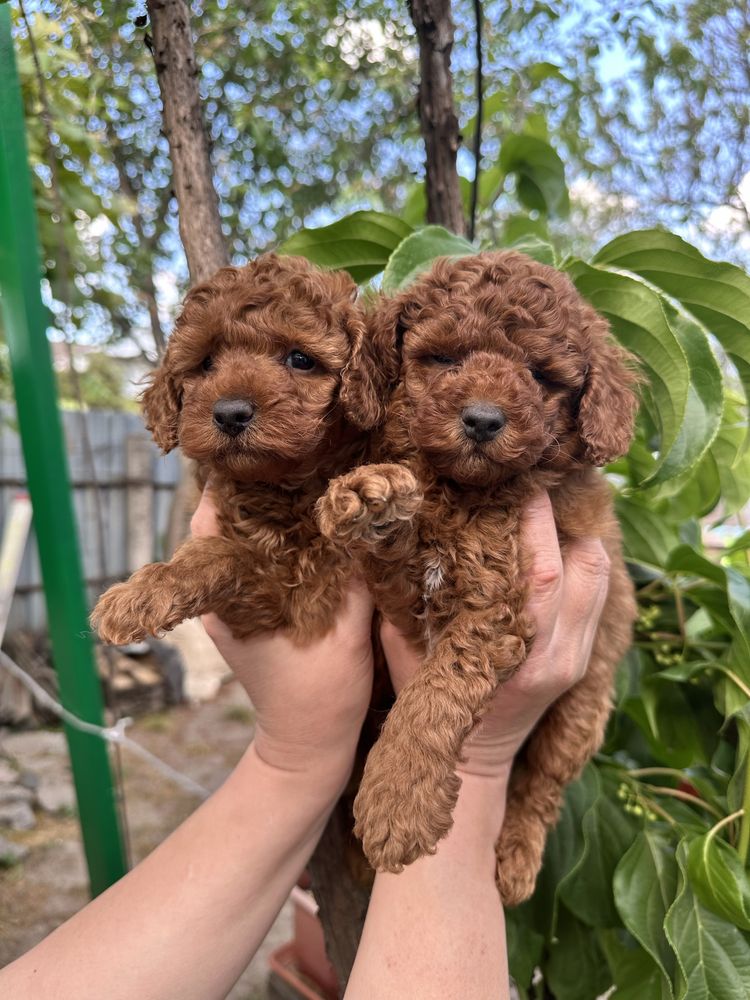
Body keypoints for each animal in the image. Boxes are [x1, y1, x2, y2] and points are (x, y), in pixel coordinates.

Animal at [92, 254, 372, 644]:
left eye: (301, 359)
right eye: (207, 363)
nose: (230, 413)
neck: (282, 488)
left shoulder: (301, 591)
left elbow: (225, 552)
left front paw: (138, 595)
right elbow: (225, 550)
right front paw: (142, 593)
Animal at [318, 252, 640, 908]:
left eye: (542, 376)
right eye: (443, 360)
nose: (484, 420)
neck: (464, 490)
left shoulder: (495, 611)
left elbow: (435, 694)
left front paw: (398, 803)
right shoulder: (403, 596)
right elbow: (394, 552)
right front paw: (368, 497)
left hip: (582, 712)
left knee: (540, 785)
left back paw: (516, 863)